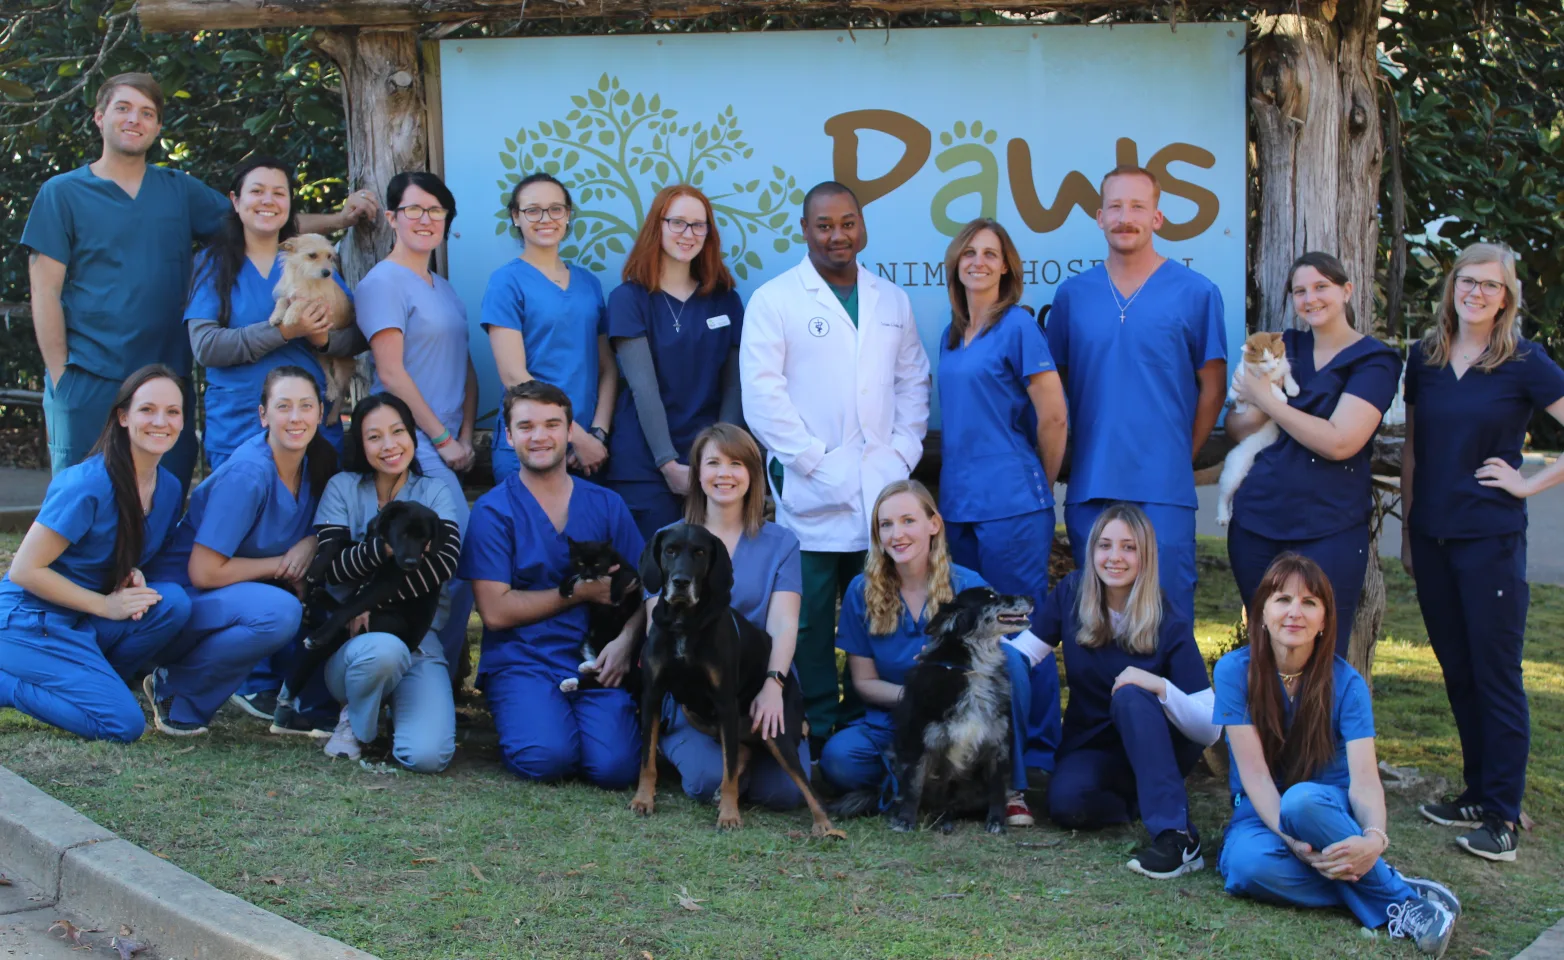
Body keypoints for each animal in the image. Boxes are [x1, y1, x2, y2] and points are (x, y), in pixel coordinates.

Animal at [275, 234, 359, 419]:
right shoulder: (289, 294)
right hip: (319, 354)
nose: (327, 273)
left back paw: (332, 416)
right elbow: (283, 300)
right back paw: (330, 391)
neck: (306, 279)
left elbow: (301, 301)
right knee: (327, 374)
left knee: (341, 391)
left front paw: (290, 316)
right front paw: (276, 316)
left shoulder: (318, 303)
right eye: (312, 255)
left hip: (341, 364)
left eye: (329, 256)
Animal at [276, 503, 441, 706]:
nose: (412, 563)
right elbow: (339, 540)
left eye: (425, 538)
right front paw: (317, 567)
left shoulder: (386, 582)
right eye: (403, 533)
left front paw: (320, 635)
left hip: (388, 620)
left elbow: (350, 607)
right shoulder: (368, 549)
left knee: (349, 625)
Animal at [628, 522, 844, 838]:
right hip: (694, 712)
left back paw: (825, 825)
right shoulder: (653, 695)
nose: (681, 582)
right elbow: (647, 759)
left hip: (776, 732)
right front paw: (643, 799)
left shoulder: (725, 702)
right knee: (743, 750)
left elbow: (728, 770)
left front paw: (729, 816)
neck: (684, 623)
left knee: (804, 786)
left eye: (700, 552)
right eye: (669, 551)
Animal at [888, 587, 1032, 838]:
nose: (1032, 599)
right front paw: (905, 820)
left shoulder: (998, 743)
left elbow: (997, 789)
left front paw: (996, 822)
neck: (973, 668)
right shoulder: (920, 742)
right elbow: (914, 785)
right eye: (991, 597)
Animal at [1213, 334, 1301, 531]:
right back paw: (1223, 516)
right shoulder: (1238, 388)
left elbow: (1287, 373)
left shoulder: (1284, 366)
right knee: (1223, 496)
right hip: (1234, 473)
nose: (1273, 366)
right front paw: (1281, 396)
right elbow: (1268, 389)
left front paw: (1292, 388)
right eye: (1263, 360)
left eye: (1276, 355)